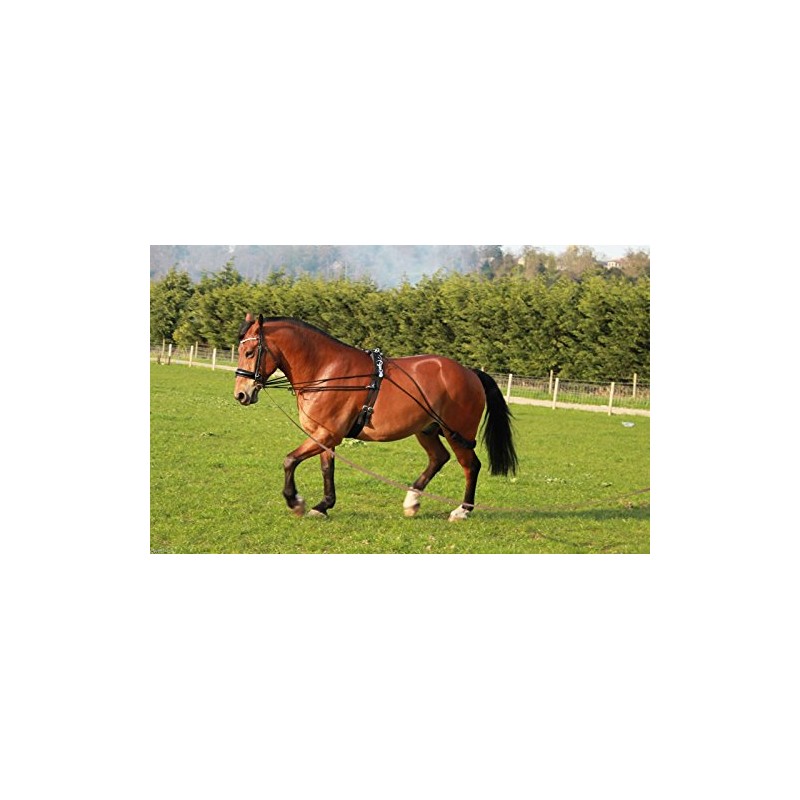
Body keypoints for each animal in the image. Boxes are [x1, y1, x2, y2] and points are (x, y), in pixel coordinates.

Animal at [233, 313, 517, 521]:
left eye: (250, 353)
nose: (241, 394)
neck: (326, 372)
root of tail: (469, 372)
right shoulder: (324, 436)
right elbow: (326, 469)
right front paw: (323, 505)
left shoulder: (327, 434)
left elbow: (290, 460)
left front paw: (296, 502)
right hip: (427, 430)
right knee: (439, 458)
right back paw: (412, 501)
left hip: (457, 433)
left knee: (470, 465)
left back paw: (462, 510)